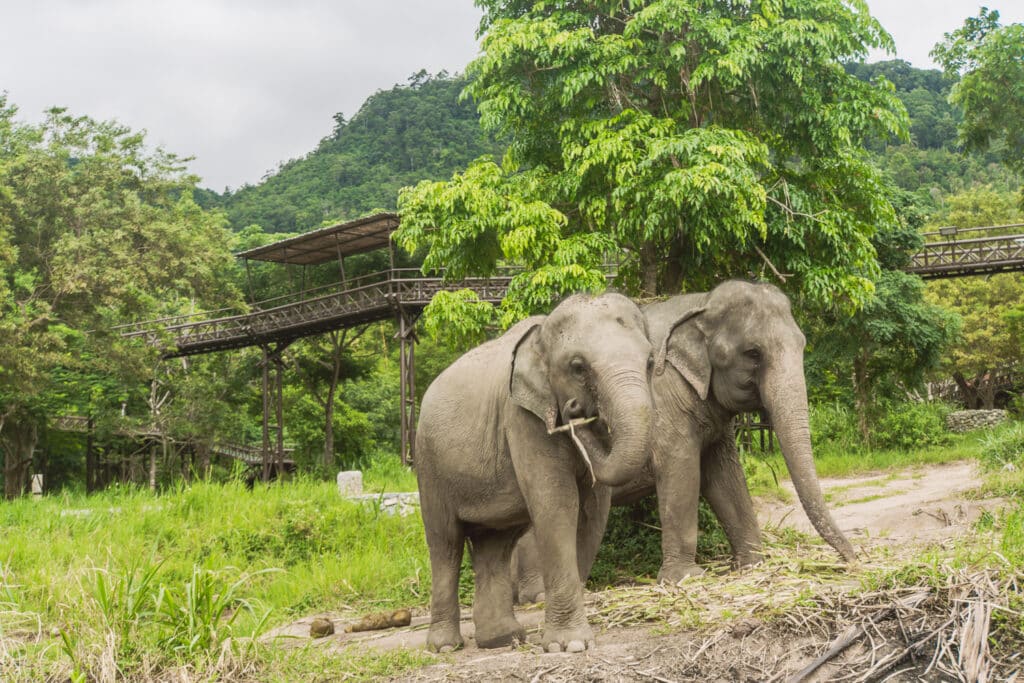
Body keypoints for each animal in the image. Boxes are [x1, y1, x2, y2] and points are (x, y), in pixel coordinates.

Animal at [415, 292, 658, 653]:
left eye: (651, 362)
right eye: (578, 367)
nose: (573, 409)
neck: (542, 335)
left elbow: (593, 512)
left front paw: (571, 640)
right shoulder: (522, 417)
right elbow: (557, 504)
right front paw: (570, 645)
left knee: (494, 544)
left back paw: (502, 639)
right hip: (429, 465)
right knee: (445, 542)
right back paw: (446, 647)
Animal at [512, 280, 855, 601]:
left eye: (803, 344)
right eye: (753, 353)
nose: (852, 558)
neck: (700, 304)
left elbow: (725, 477)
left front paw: (754, 565)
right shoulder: (665, 401)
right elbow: (682, 472)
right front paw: (685, 578)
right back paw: (537, 596)